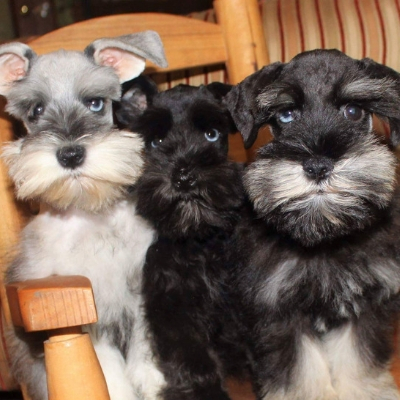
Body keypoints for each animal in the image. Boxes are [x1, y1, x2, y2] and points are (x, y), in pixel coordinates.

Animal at [0, 32, 167, 400]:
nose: (71, 154)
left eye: (95, 103)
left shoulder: (139, 285)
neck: (93, 216)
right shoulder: (85, 310)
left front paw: (152, 378)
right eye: (36, 109)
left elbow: (145, 340)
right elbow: (106, 370)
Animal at [116, 82, 244, 400]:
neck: (198, 239)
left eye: (212, 134)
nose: (184, 177)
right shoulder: (173, 305)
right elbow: (191, 358)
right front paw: (204, 392)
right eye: (156, 141)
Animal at [225, 50, 400, 400]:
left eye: (353, 111)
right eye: (287, 114)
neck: (326, 236)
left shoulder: (365, 303)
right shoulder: (276, 307)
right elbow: (300, 371)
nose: (318, 165)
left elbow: (358, 360)